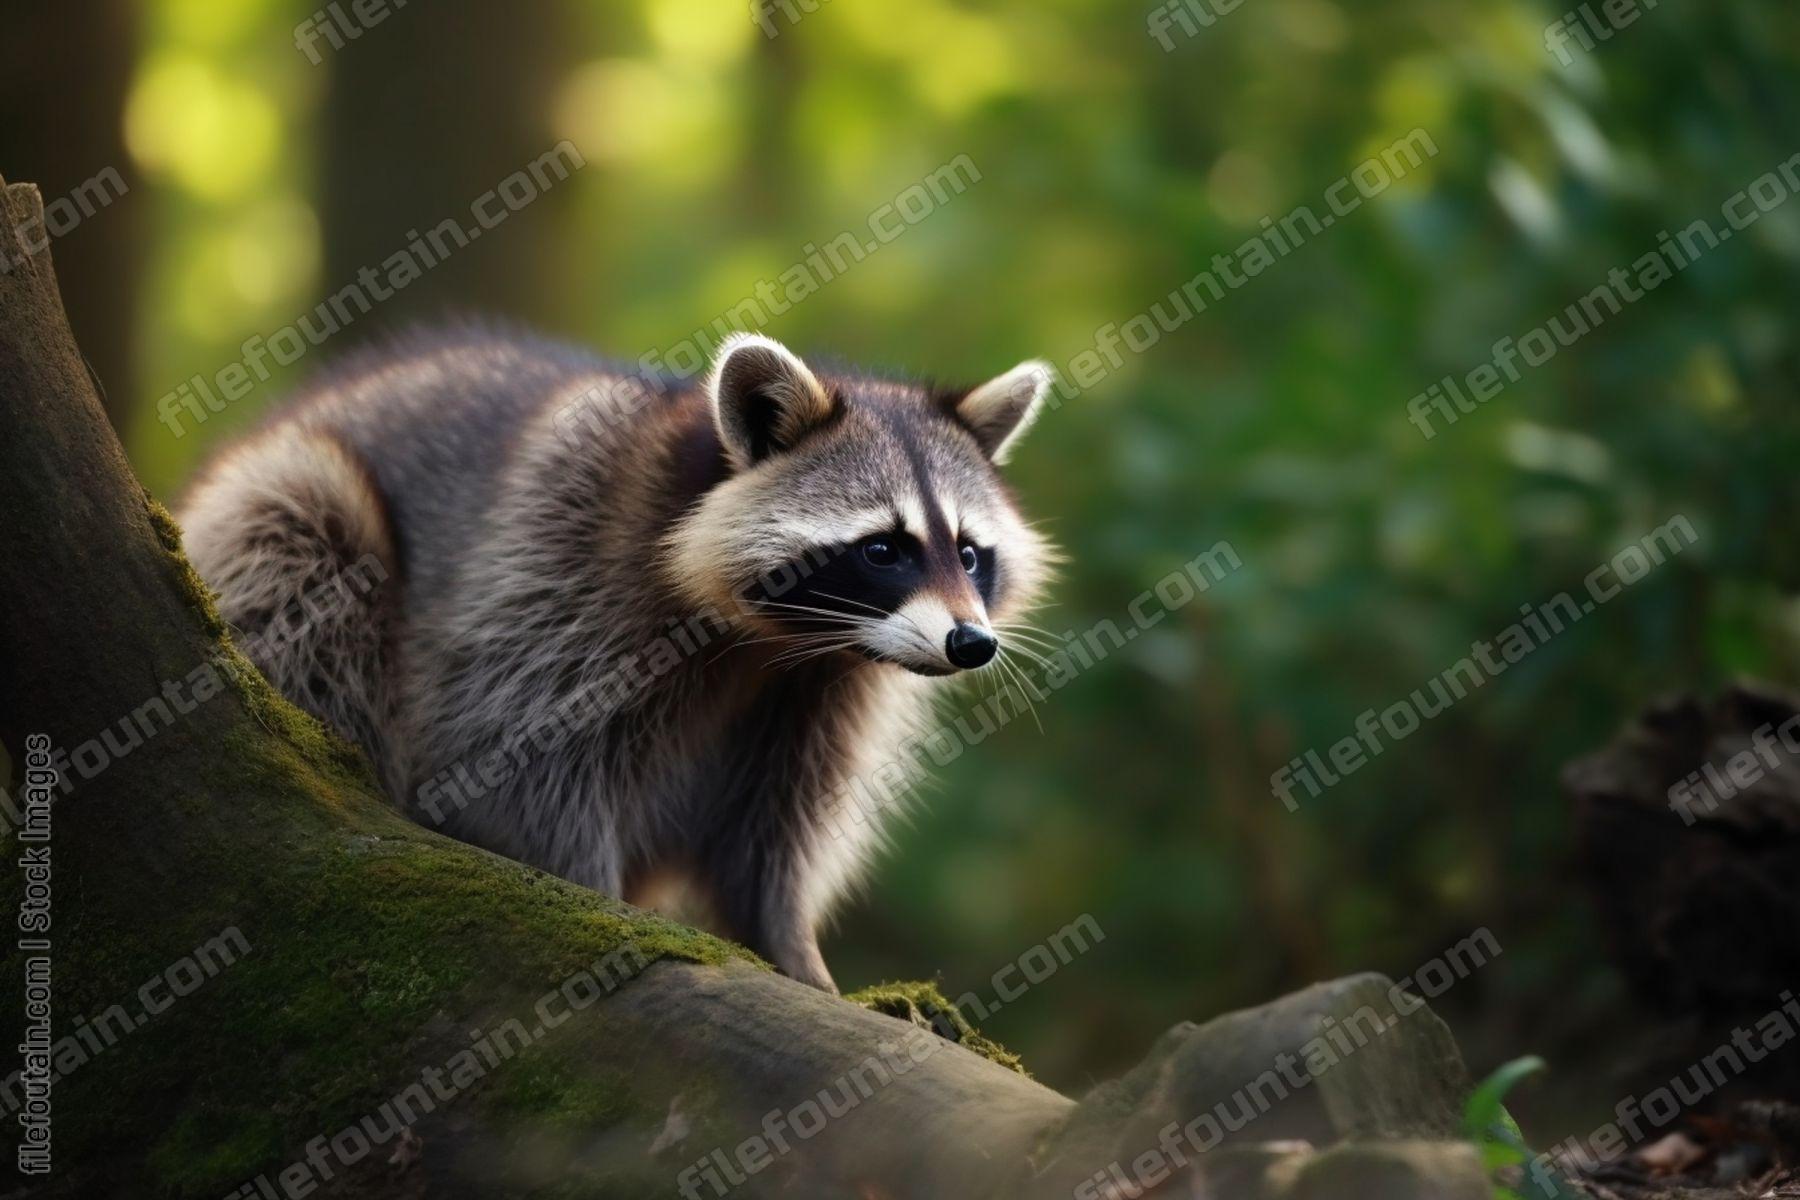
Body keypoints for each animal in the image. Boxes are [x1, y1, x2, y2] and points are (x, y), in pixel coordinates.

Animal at [178, 327, 1057, 991]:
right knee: (308, 548)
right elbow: (512, 759)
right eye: (883, 549)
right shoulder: (560, 559)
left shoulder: (825, 689)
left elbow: (781, 822)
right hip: (283, 507)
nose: (972, 643)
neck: (778, 642)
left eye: (969, 553)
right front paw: (593, 904)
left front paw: (790, 946)